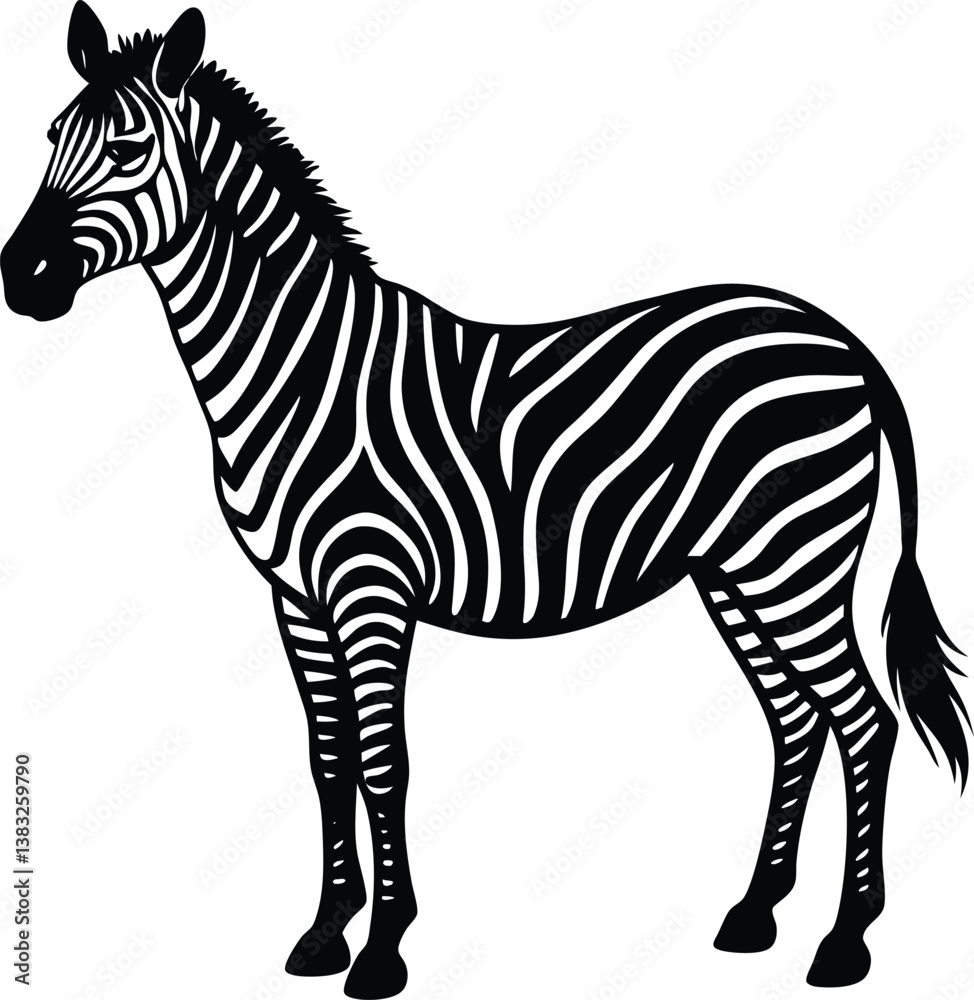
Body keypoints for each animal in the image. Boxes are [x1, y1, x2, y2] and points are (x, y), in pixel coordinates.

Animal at [1, 4, 969, 997]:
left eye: (127, 147)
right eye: (50, 138)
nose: (19, 278)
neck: (298, 370)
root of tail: (839, 336)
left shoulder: (371, 586)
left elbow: (384, 762)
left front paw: (382, 950)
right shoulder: (296, 596)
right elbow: (328, 759)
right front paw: (325, 933)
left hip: (793, 560)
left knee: (864, 720)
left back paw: (846, 939)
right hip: (738, 571)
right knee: (795, 719)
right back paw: (754, 914)